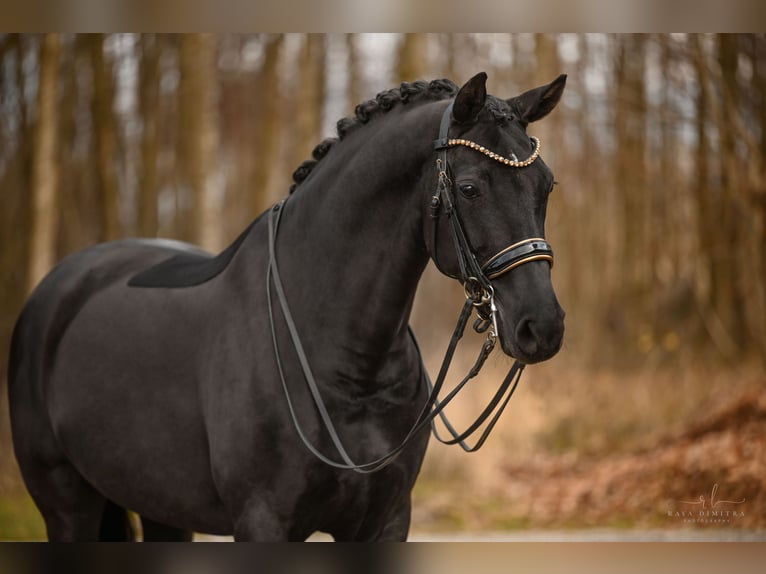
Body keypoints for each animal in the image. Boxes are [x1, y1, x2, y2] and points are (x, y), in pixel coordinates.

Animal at [9, 71, 568, 540]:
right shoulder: (264, 522)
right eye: (470, 188)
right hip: (67, 504)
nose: (542, 326)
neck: (347, 368)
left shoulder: (385, 522)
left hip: (160, 506)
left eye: (546, 185)